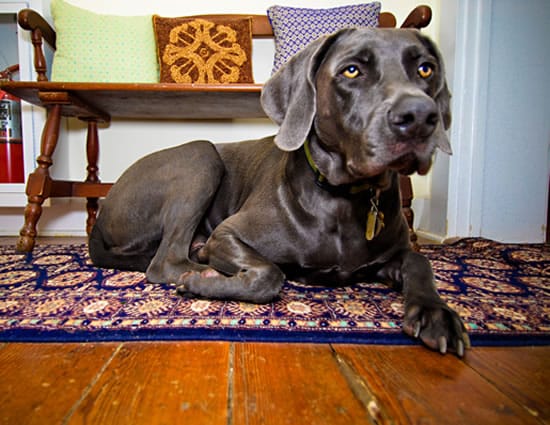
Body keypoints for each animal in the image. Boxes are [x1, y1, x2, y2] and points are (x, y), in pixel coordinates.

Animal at [89, 27, 470, 354]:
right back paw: (199, 269)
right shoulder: (227, 234)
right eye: (351, 71)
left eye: (425, 69)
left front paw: (437, 313)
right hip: (201, 156)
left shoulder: (389, 256)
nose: (420, 116)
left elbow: (420, 259)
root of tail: (103, 213)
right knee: (164, 262)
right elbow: (271, 274)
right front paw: (205, 283)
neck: (345, 198)